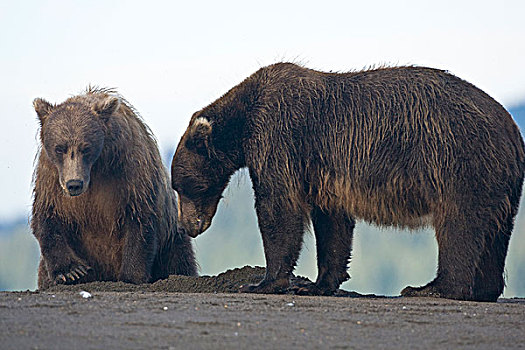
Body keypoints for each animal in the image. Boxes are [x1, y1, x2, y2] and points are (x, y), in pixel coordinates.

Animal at [32, 86, 196, 288]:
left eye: (86, 148)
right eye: (59, 148)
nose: (74, 184)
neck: (97, 168)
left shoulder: (130, 172)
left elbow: (139, 218)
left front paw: (131, 276)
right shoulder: (51, 179)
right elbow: (47, 217)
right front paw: (71, 272)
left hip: (171, 239)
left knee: (179, 262)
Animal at [171, 62, 524, 300]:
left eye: (182, 186)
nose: (187, 226)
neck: (242, 127)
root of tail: (512, 130)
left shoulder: (279, 137)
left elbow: (278, 208)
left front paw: (263, 282)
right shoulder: (324, 174)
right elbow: (332, 224)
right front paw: (318, 284)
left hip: (459, 161)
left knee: (459, 227)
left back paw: (431, 288)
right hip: (500, 184)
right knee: (495, 235)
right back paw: (484, 289)